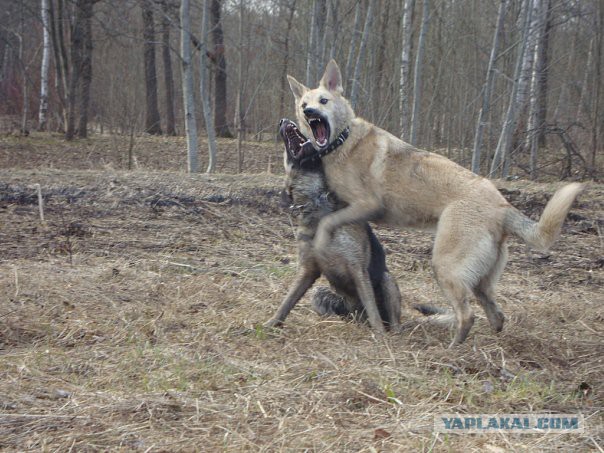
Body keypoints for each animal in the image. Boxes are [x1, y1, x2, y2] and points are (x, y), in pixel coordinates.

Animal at [288, 60, 584, 346]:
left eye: (324, 101)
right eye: (304, 105)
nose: (310, 112)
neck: (343, 140)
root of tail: (503, 206)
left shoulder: (366, 204)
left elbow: (328, 221)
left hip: (445, 267)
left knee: (467, 315)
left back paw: (452, 351)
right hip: (479, 280)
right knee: (495, 315)